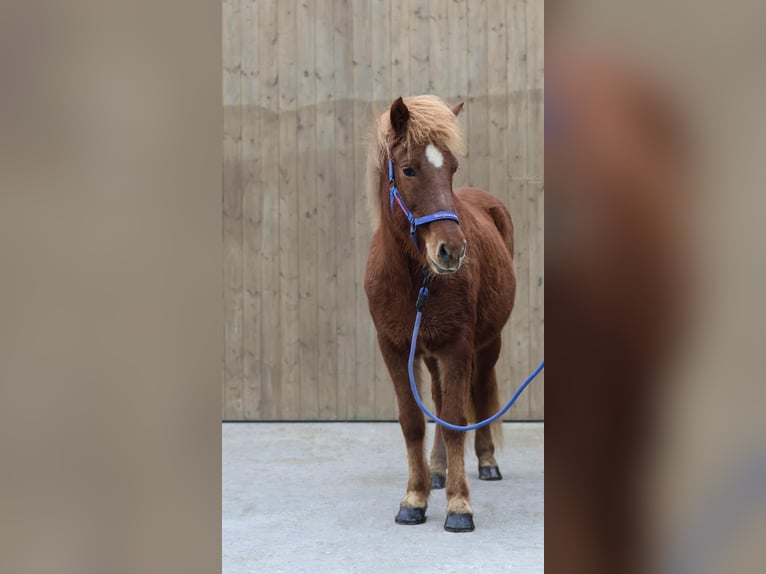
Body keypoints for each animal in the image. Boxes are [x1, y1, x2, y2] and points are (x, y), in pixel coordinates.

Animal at [364, 95, 516, 536]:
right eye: (409, 169)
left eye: (452, 168)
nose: (452, 250)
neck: (415, 280)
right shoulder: (396, 349)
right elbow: (414, 420)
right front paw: (414, 498)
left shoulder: (458, 347)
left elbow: (452, 418)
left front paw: (458, 505)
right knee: (434, 396)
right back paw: (435, 470)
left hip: (487, 344)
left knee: (478, 391)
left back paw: (486, 462)